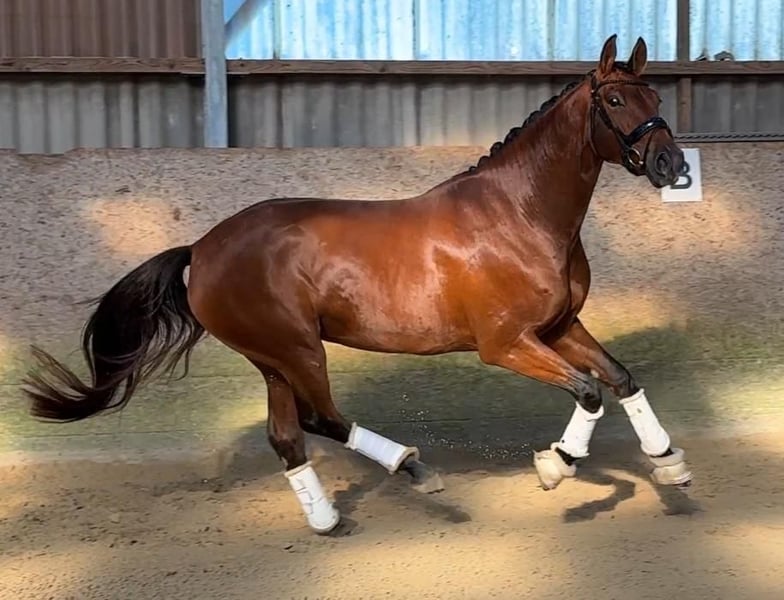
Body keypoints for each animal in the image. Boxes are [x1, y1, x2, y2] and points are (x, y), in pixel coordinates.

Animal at [23, 34, 692, 536]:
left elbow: (621, 379)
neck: (519, 215)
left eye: (656, 93)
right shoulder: (506, 344)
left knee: (288, 435)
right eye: (614, 98)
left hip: (272, 360)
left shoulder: (559, 327)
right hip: (297, 349)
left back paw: (326, 520)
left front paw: (669, 464)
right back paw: (413, 469)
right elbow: (588, 391)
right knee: (321, 419)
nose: (673, 166)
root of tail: (202, 249)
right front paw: (558, 465)